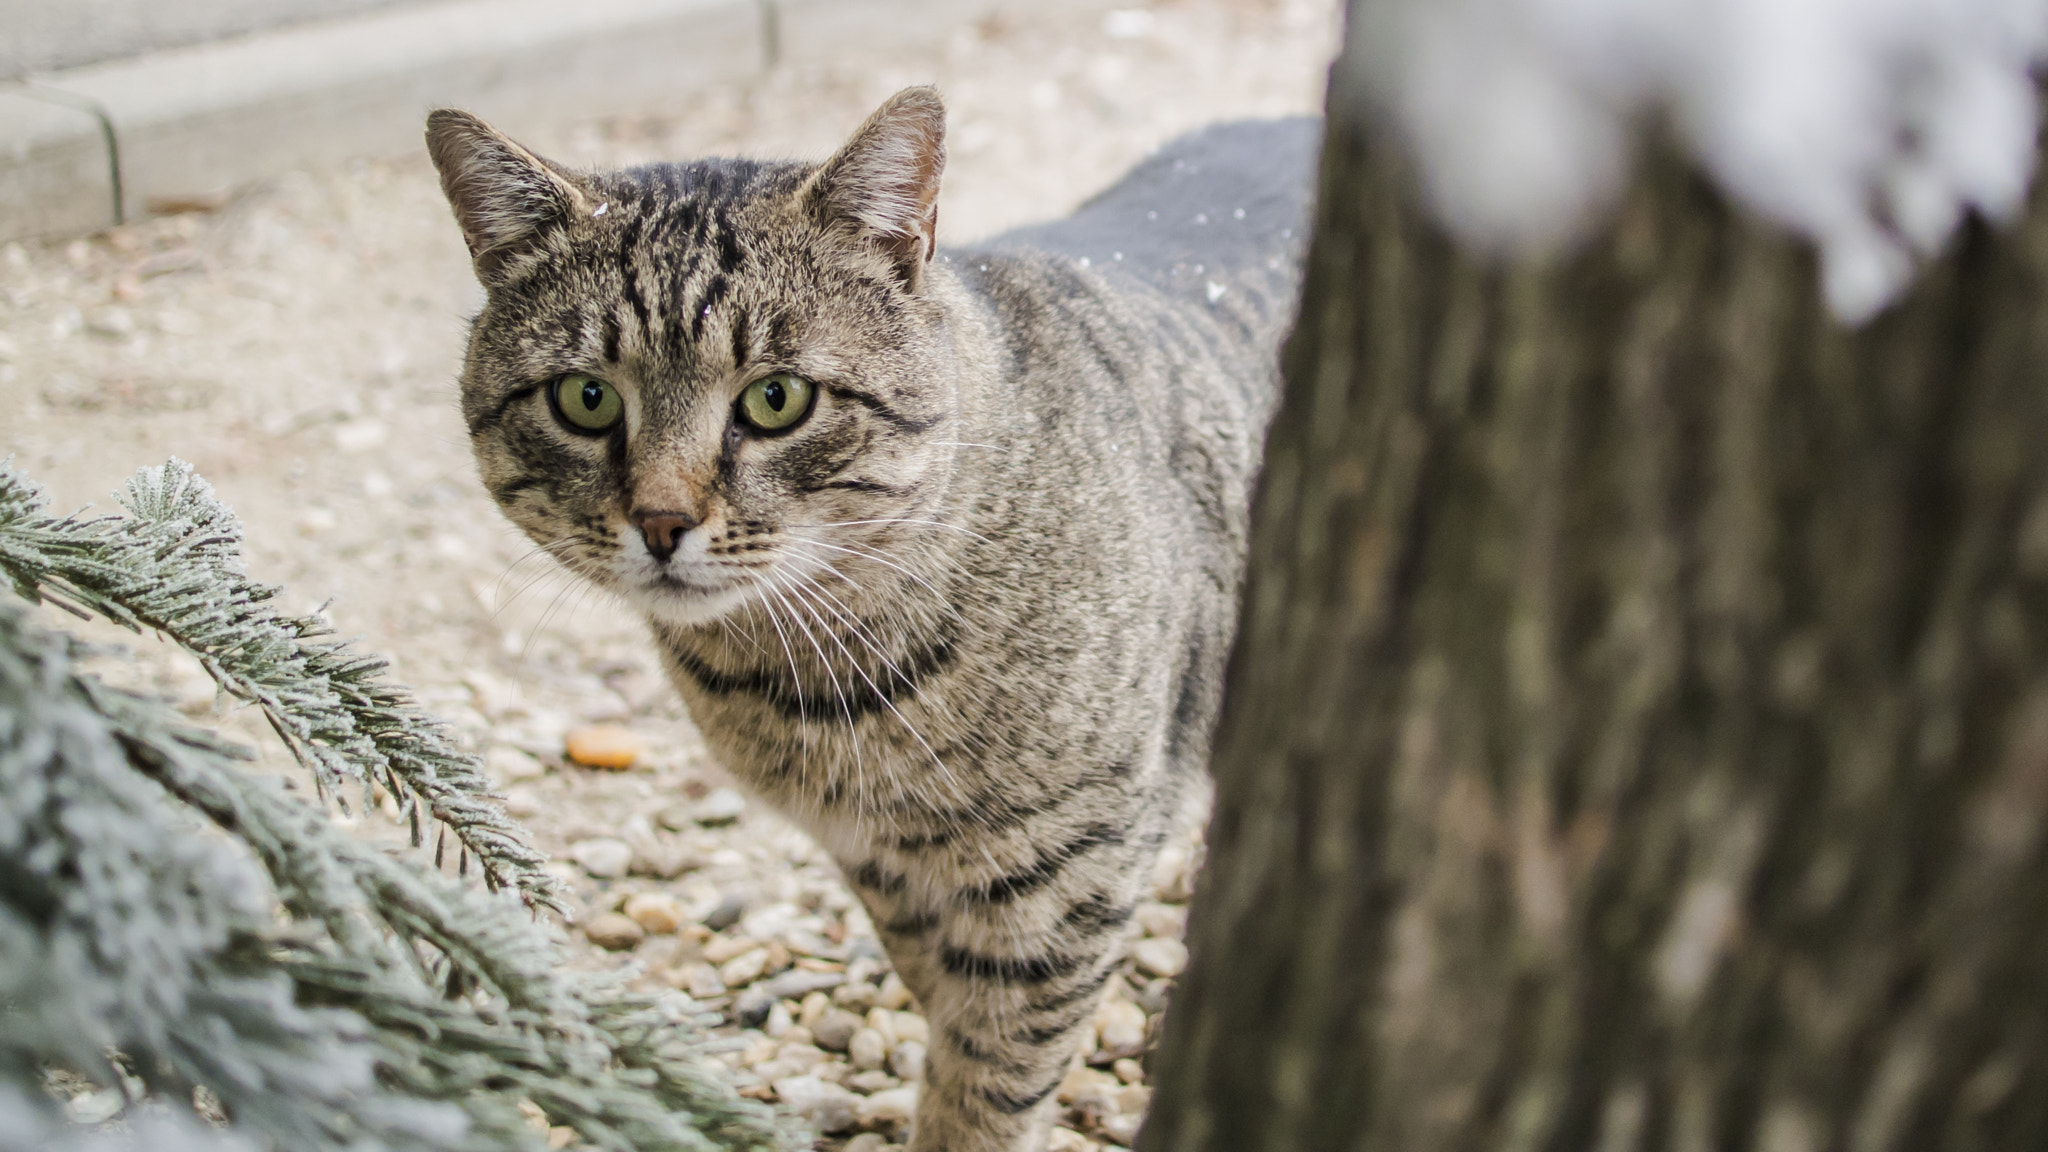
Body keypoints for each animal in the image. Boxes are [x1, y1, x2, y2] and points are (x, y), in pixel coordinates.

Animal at [425, 89, 1318, 1147]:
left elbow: (991, 1076)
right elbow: (938, 996)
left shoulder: (1068, 867)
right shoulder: (883, 866)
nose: (662, 521)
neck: (814, 686)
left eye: (776, 399)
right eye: (585, 398)